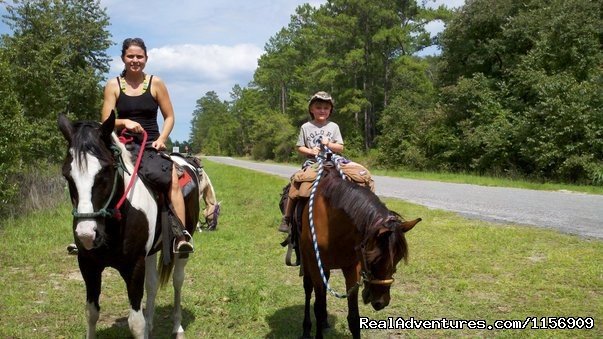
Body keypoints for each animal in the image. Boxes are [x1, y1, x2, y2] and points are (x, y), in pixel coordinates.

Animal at [57, 113, 198, 338]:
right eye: (67, 175)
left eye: (106, 171)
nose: (87, 234)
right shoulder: (88, 265)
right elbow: (91, 313)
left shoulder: (134, 267)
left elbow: (136, 323)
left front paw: (146, 327)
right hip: (150, 253)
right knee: (152, 285)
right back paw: (152, 323)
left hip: (180, 251)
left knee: (178, 280)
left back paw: (177, 327)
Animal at [294, 163, 422, 338]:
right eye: (372, 258)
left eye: (398, 258)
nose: (381, 302)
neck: (332, 226)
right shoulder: (315, 265)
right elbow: (318, 308)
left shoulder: (352, 268)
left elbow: (354, 318)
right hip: (307, 263)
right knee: (308, 289)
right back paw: (306, 329)